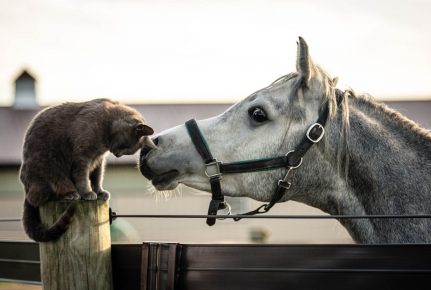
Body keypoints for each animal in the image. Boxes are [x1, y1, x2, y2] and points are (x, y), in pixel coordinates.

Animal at [20, 98, 155, 241]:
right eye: (126, 146)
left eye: (128, 152)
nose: (118, 155)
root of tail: (26, 190)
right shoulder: (82, 157)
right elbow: (83, 177)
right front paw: (87, 193)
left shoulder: (99, 160)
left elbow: (97, 177)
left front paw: (100, 192)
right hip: (50, 168)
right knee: (40, 197)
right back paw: (70, 194)